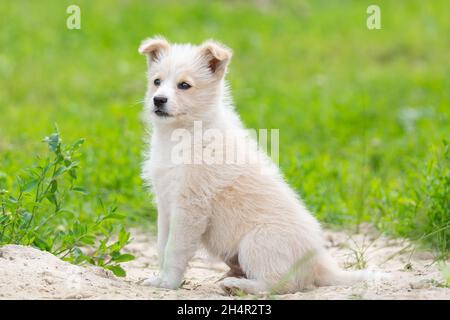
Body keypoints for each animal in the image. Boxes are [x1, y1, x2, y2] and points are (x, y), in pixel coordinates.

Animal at [139, 37, 370, 296]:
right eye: (157, 81)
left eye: (184, 85)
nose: (158, 100)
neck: (182, 134)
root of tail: (320, 264)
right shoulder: (165, 203)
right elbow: (162, 246)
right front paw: (159, 280)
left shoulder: (190, 205)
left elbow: (174, 249)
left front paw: (168, 283)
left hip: (257, 242)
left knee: (280, 284)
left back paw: (236, 285)